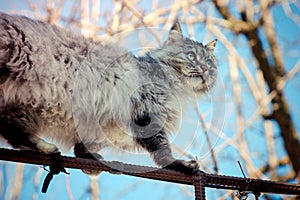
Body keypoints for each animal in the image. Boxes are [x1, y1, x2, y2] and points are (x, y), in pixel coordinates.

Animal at [0, 12, 216, 174]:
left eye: (210, 63)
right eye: (191, 56)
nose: (205, 68)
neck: (179, 90)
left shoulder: (108, 129)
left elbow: (85, 147)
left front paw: (92, 163)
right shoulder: (146, 111)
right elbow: (163, 151)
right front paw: (180, 164)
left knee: (12, 131)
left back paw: (43, 147)